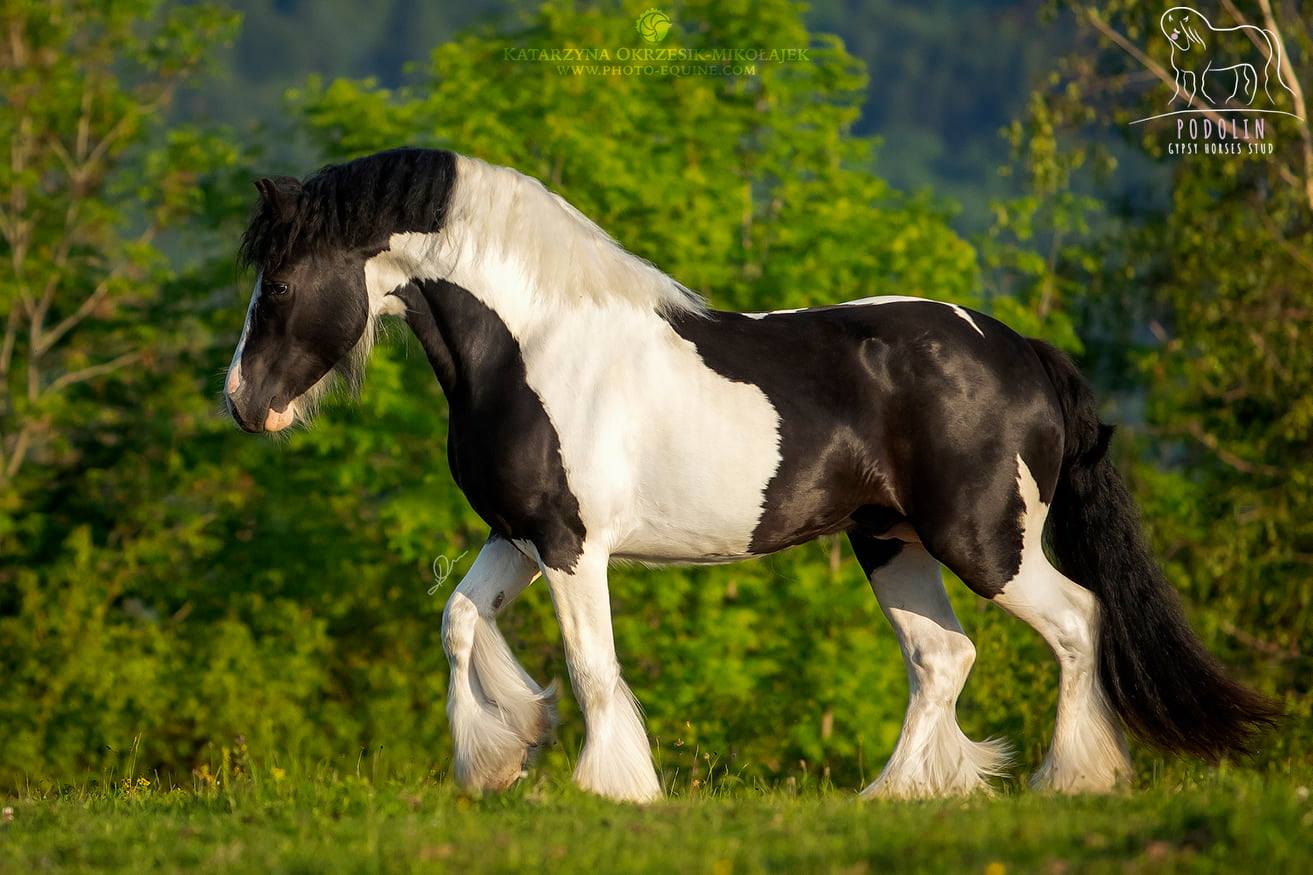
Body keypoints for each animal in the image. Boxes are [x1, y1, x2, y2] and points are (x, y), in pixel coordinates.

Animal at [223, 148, 1270, 798]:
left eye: (280, 282)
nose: (241, 403)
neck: (534, 347)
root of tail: (1018, 350)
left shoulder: (570, 545)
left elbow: (592, 667)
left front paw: (614, 788)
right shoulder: (516, 536)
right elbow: (457, 621)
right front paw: (500, 756)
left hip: (984, 541)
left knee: (1076, 622)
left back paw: (1076, 777)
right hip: (889, 542)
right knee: (944, 658)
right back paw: (890, 796)